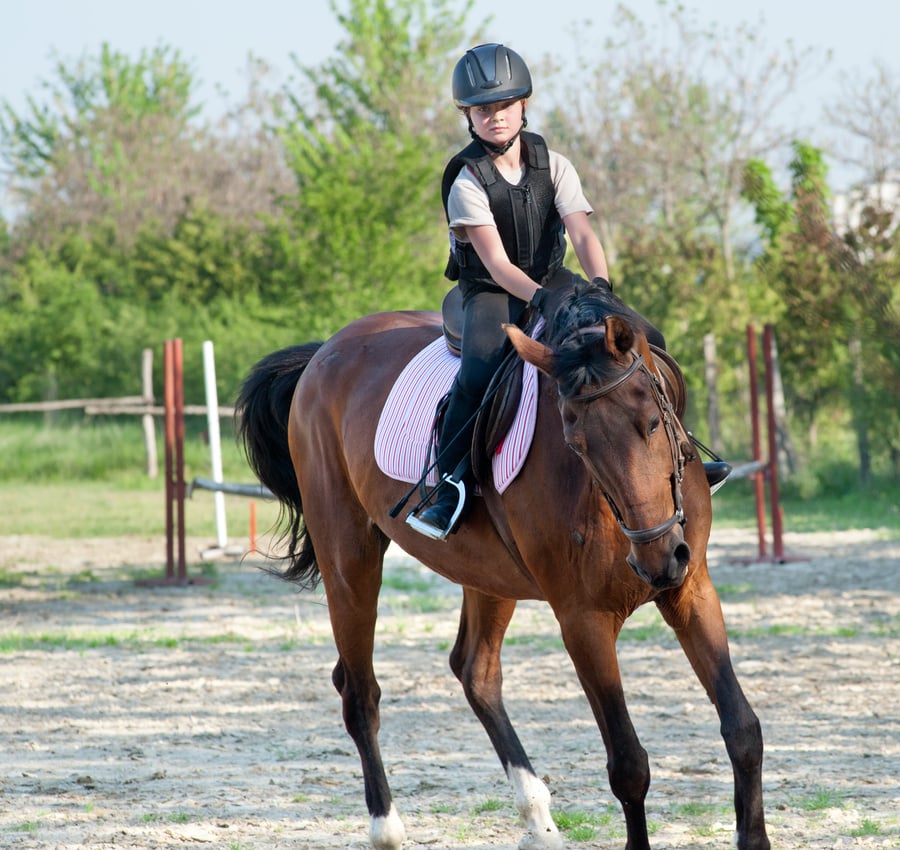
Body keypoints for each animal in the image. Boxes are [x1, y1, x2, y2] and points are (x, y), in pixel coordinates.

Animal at [234, 280, 768, 848]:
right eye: (575, 443)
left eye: (650, 424)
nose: (657, 559)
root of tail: (324, 353)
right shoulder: (583, 621)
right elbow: (628, 764)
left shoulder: (692, 591)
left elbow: (742, 728)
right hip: (349, 559)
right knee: (359, 690)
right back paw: (387, 827)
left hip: (488, 575)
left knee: (476, 670)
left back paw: (538, 818)